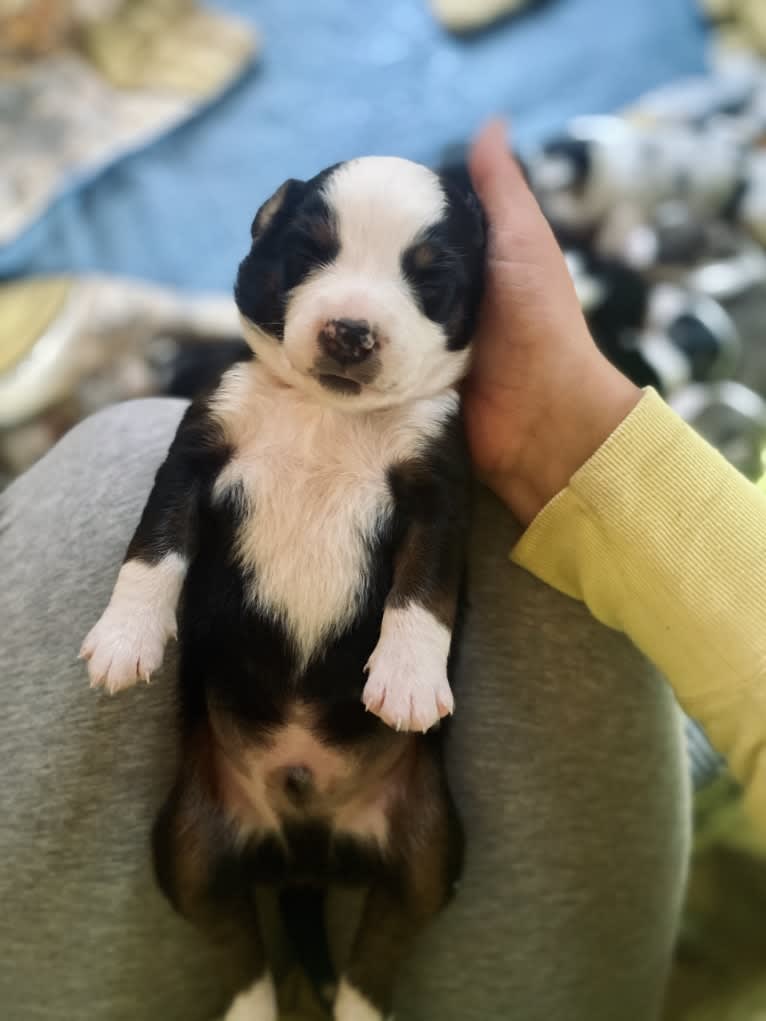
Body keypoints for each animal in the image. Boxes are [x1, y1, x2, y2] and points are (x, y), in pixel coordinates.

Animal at [82, 153, 486, 1021]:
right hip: (188, 840)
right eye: (308, 254)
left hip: (431, 845)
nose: (350, 330)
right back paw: (253, 1005)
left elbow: (423, 587)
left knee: (385, 941)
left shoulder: (439, 483)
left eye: (429, 281)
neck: (326, 411)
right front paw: (125, 639)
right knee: (235, 939)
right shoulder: (200, 445)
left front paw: (409, 678)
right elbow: (154, 547)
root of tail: (305, 856)